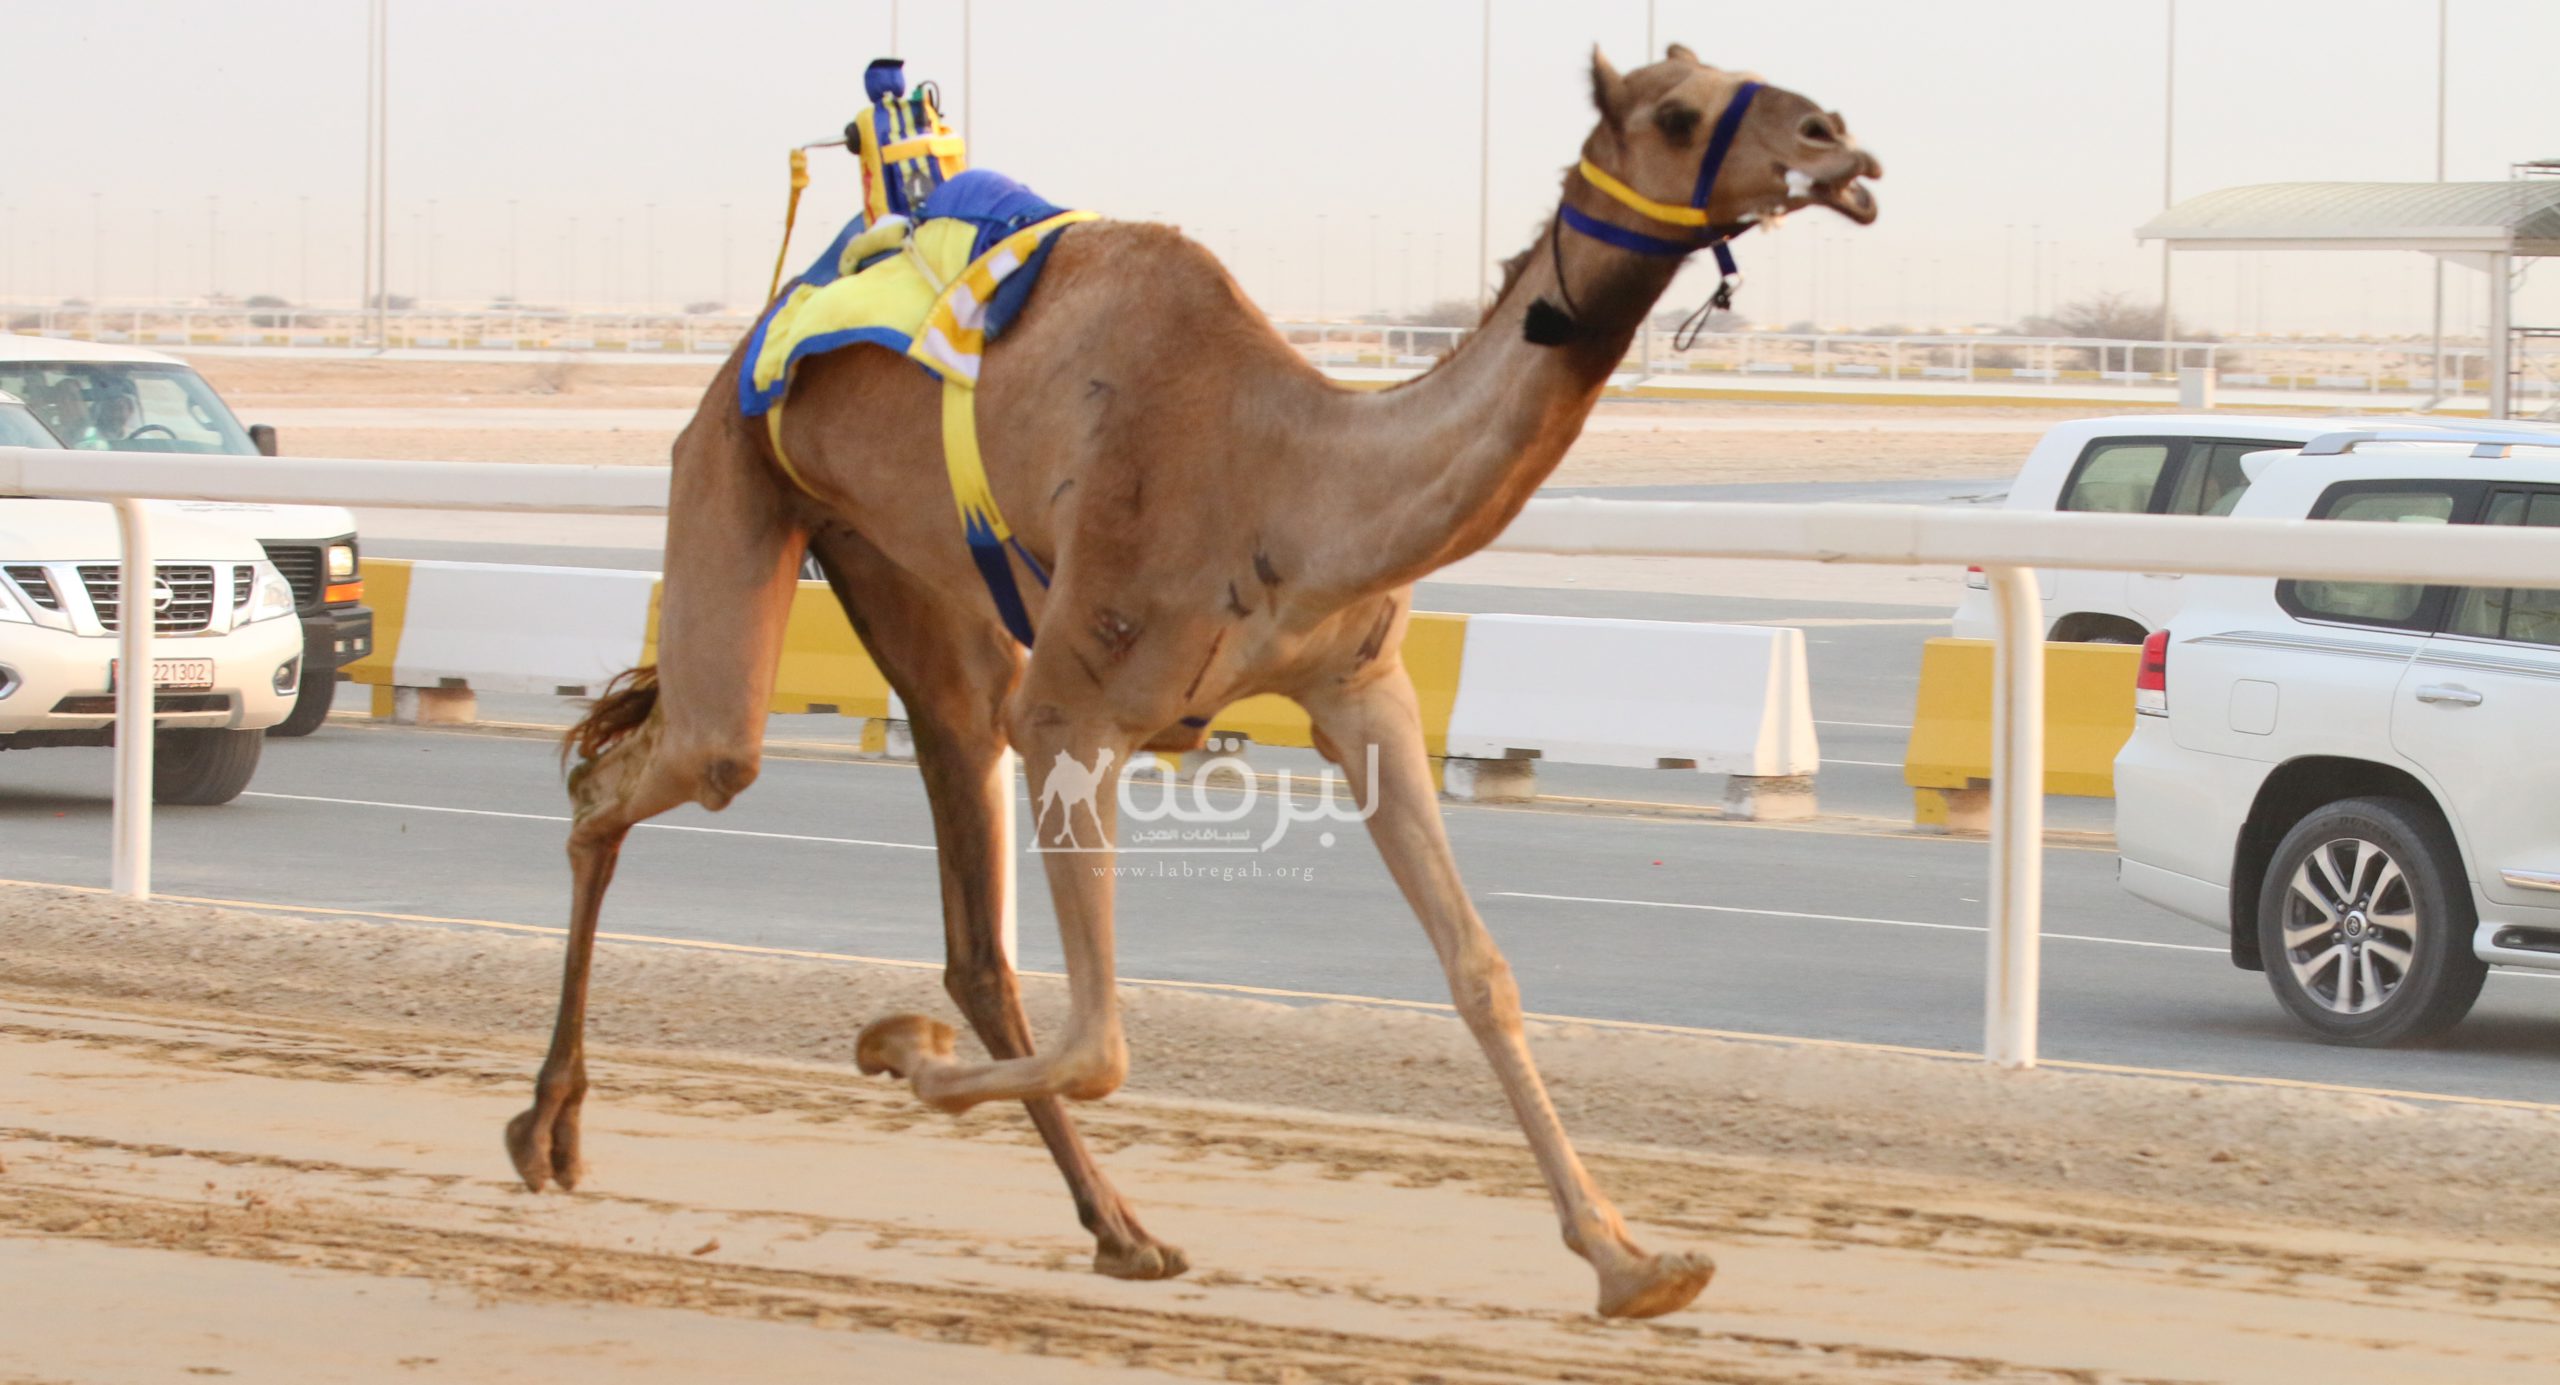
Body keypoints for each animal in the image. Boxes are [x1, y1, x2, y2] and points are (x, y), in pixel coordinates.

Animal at [514, 45, 1884, 1320]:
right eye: (1676, 113)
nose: (1841, 142)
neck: (1285, 469)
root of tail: (769, 318)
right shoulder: (1074, 708)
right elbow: (1102, 1040)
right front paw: (895, 1050)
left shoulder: (1359, 691)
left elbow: (1480, 970)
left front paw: (1630, 1257)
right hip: (734, 469)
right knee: (658, 767)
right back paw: (548, 1127)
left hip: (893, 566)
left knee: (967, 915)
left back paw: (1120, 1229)